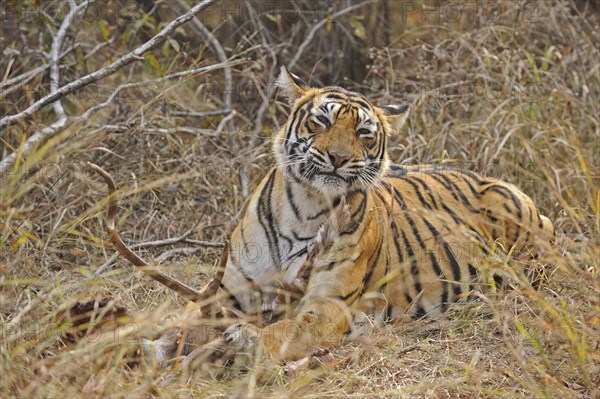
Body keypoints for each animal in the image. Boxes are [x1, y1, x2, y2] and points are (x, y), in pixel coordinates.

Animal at [103, 67, 552, 370]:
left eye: (364, 133)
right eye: (322, 121)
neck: (306, 206)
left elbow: (286, 330)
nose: (337, 157)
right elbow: (181, 324)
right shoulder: (227, 294)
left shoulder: (329, 302)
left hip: (514, 214)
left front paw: (245, 341)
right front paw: (136, 343)